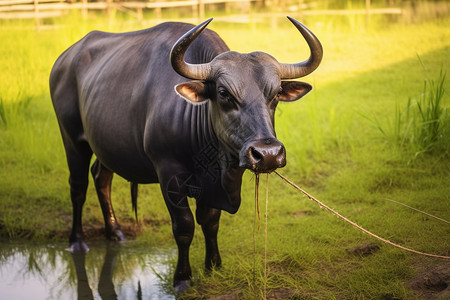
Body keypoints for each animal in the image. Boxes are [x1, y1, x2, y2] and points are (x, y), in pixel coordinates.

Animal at [51, 17, 322, 292]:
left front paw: (214, 265)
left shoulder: (211, 184)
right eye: (224, 93)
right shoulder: (169, 175)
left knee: (101, 178)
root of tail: (63, 60)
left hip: (106, 146)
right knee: (78, 186)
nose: (267, 154)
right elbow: (184, 226)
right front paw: (182, 278)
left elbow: (211, 221)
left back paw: (115, 231)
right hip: (71, 139)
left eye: (275, 93)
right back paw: (77, 241)